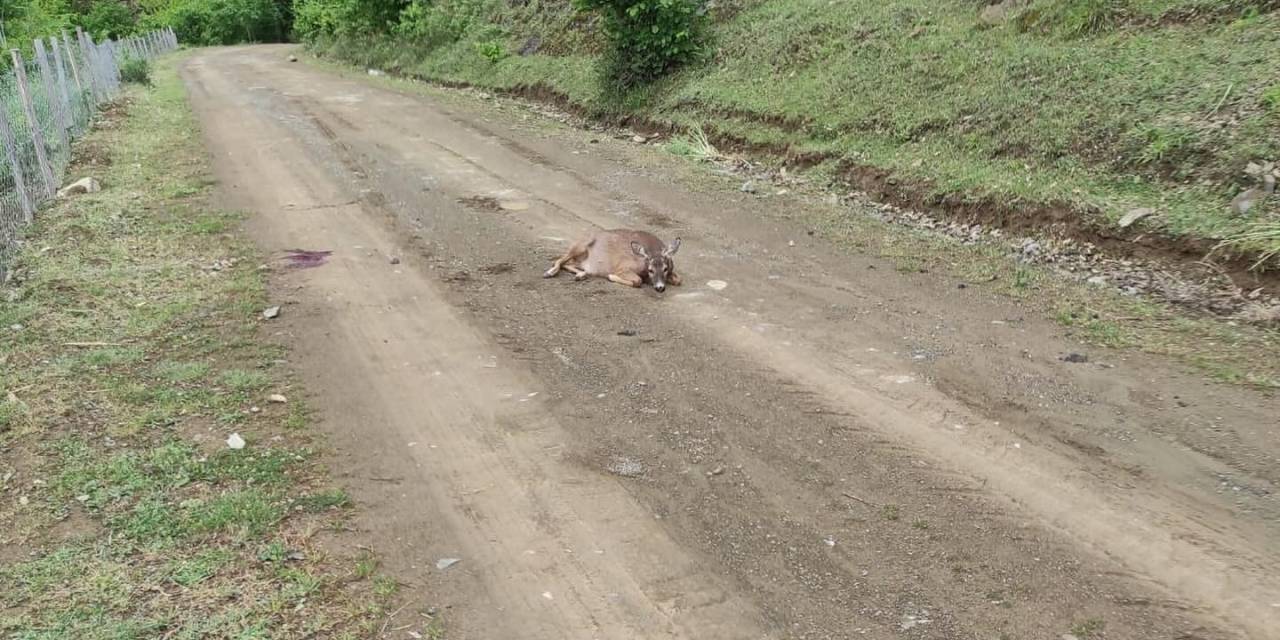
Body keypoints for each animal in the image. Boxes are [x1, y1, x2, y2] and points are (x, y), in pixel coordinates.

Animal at [542, 229, 680, 291]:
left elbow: (678, 280)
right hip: (580, 245)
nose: (660, 287)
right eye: (650, 270)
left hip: (579, 258)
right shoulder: (622, 268)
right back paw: (549, 273)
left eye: (665, 268)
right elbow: (638, 281)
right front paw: (611, 276)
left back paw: (582, 274)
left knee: (568, 263)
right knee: (559, 259)